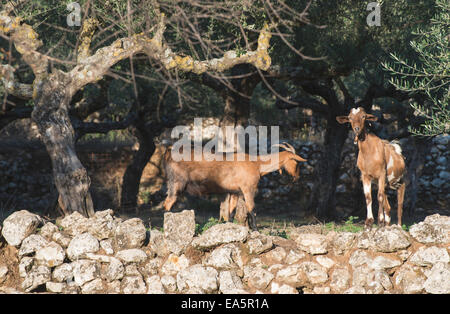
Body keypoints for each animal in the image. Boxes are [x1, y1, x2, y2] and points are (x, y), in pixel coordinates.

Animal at [162, 143, 306, 231]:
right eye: (296, 162)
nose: (297, 177)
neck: (257, 164)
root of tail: (169, 153)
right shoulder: (248, 189)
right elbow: (252, 208)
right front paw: (255, 229)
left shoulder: (234, 192)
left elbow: (230, 212)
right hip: (176, 183)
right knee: (168, 203)